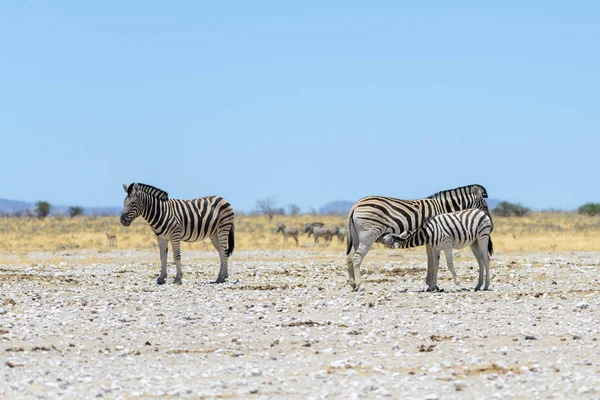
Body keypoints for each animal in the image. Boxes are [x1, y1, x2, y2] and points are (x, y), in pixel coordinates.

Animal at [344, 184, 490, 290]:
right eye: (485, 205)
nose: (490, 223)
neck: (443, 208)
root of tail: (355, 204)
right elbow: (433, 261)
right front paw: (432, 285)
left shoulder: (431, 237)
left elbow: (431, 260)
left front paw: (431, 284)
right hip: (368, 236)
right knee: (357, 257)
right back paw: (360, 286)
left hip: (357, 238)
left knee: (350, 257)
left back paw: (353, 284)